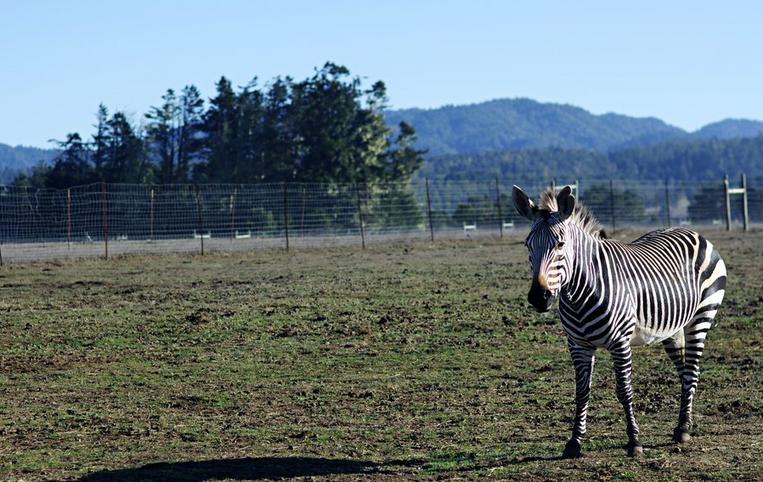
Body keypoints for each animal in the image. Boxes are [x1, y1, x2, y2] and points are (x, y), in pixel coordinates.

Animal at [512, 185, 728, 460]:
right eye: (527, 244)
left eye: (560, 244)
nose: (539, 297)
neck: (580, 293)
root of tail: (692, 231)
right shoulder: (578, 345)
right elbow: (582, 391)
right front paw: (574, 442)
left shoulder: (619, 343)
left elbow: (624, 390)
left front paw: (634, 441)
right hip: (672, 329)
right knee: (685, 371)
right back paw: (683, 424)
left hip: (702, 315)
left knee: (691, 370)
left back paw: (683, 430)